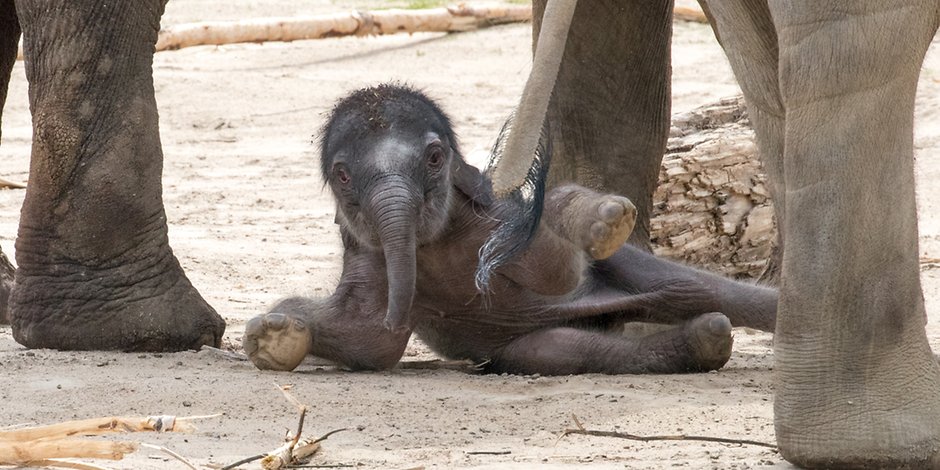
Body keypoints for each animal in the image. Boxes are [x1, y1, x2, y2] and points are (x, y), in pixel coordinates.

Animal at [244, 84, 780, 374]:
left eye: (435, 158)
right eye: (342, 175)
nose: (400, 316)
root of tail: (609, 312)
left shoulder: (492, 215)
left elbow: (556, 271)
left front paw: (603, 220)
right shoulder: (365, 254)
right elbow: (369, 342)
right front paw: (273, 335)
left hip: (632, 269)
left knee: (705, 291)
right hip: (532, 346)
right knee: (561, 350)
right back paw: (708, 337)